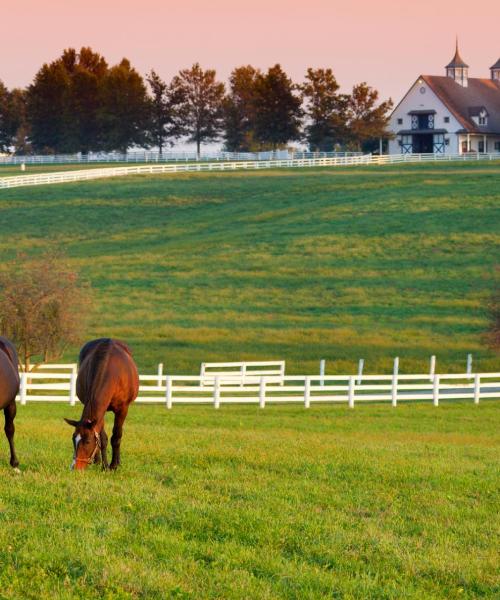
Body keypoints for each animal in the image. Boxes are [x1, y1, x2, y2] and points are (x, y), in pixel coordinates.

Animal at [64, 340, 140, 472]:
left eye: (88, 441)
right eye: (73, 439)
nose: (75, 467)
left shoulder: (122, 409)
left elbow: (116, 436)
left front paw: (113, 465)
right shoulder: (101, 412)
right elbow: (102, 438)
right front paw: (104, 465)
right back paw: (97, 461)